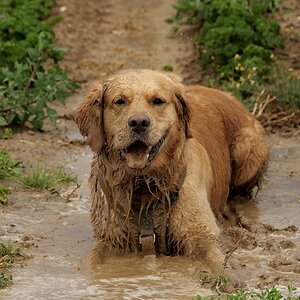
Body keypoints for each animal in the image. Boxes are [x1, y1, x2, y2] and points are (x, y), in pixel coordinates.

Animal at [74, 69, 270, 280]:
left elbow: (217, 260)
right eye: (120, 101)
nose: (139, 123)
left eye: (157, 101)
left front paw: (229, 281)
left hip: (250, 147)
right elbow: (90, 261)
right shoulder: (109, 237)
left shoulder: (200, 234)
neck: (144, 185)